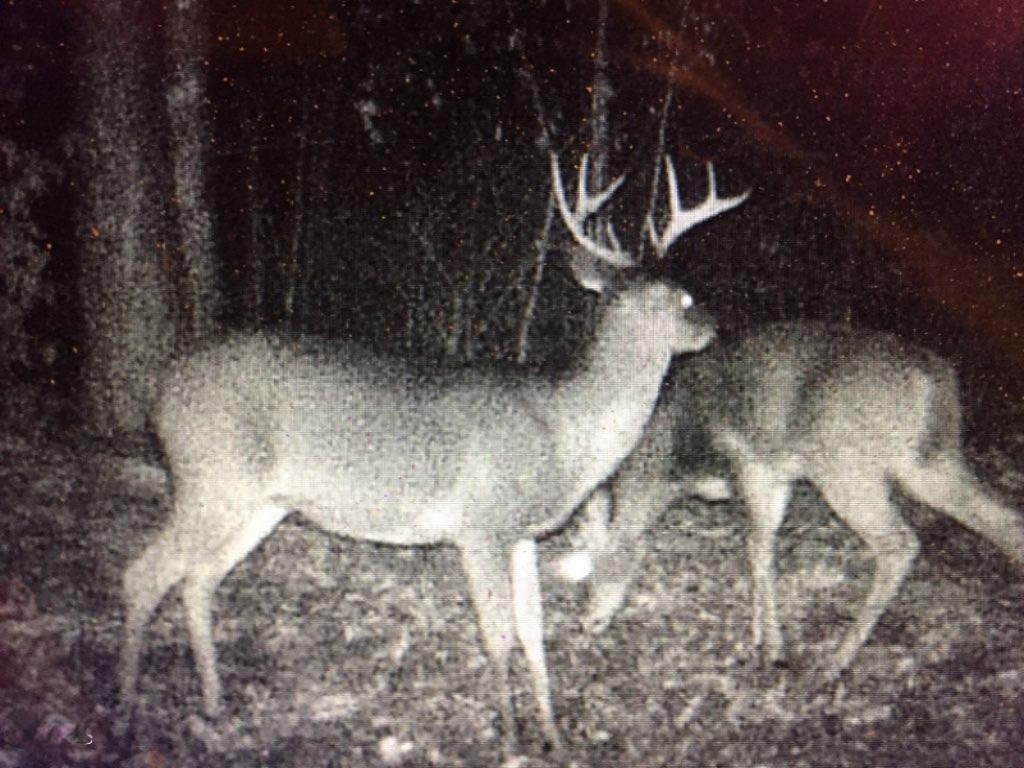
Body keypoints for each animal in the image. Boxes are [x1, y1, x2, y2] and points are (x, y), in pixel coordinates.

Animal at [117, 152, 749, 757]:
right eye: (682, 295)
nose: (716, 326)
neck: (565, 432)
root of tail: (159, 390)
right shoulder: (479, 526)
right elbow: (497, 634)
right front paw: (512, 739)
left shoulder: (522, 534)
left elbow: (533, 632)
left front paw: (555, 736)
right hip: (211, 478)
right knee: (142, 575)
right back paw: (127, 709)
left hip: (261, 503)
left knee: (197, 580)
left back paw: (213, 701)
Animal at [559, 321, 1024, 681]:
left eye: (604, 563)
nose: (587, 621)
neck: (677, 458)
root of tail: (933, 380)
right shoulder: (775, 478)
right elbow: (761, 549)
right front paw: (761, 637)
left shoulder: (753, 466)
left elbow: (756, 547)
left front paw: (770, 645)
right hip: (931, 459)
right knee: (1004, 521)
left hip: (847, 466)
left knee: (899, 544)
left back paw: (835, 661)